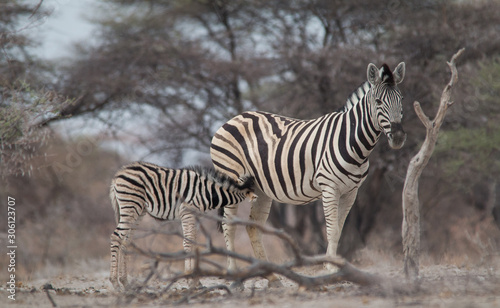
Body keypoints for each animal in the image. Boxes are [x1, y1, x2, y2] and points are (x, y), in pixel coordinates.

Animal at [110, 161, 258, 292]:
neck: (208, 192)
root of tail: (118, 174)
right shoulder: (187, 213)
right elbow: (187, 243)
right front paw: (190, 280)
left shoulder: (196, 217)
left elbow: (193, 243)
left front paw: (196, 281)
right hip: (131, 205)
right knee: (116, 237)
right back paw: (115, 283)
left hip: (138, 211)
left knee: (125, 241)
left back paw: (125, 282)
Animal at [211, 62, 406, 286]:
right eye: (378, 101)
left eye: (401, 99)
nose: (398, 137)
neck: (352, 142)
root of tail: (234, 118)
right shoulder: (329, 187)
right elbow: (332, 230)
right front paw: (331, 268)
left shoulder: (351, 192)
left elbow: (339, 230)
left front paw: (335, 268)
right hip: (231, 179)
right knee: (228, 225)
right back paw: (235, 276)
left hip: (260, 188)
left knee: (253, 227)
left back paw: (272, 276)